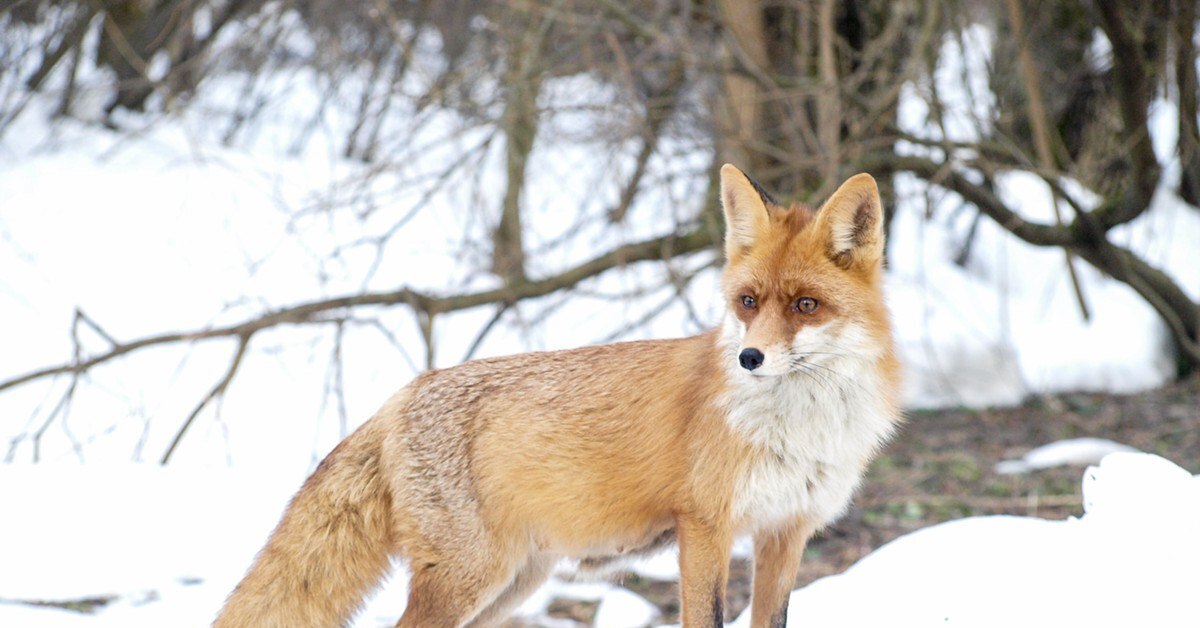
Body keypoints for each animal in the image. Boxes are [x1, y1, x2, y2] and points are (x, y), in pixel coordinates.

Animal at [213, 166, 902, 628]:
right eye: (748, 302)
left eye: (806, 305)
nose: (749, 358)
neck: (799, 430)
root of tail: (401, 395)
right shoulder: (706, 528)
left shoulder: (787, 533)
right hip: (470, 577)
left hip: (512, 584)